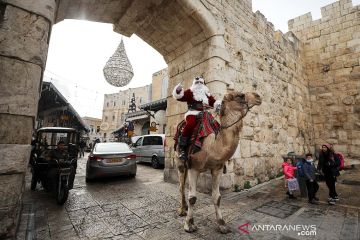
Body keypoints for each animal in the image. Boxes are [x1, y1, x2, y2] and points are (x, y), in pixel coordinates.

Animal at [175, 90, 262, 232]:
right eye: (240, 96)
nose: (258, 96)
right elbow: (193, 198)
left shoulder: (217, 168)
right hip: (180, 163)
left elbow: (217, 197)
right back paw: (182, 210)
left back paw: (185, 208)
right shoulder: (194, 168)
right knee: (181, 186)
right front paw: (189, 224)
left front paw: (222, 224)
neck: (212, 145)